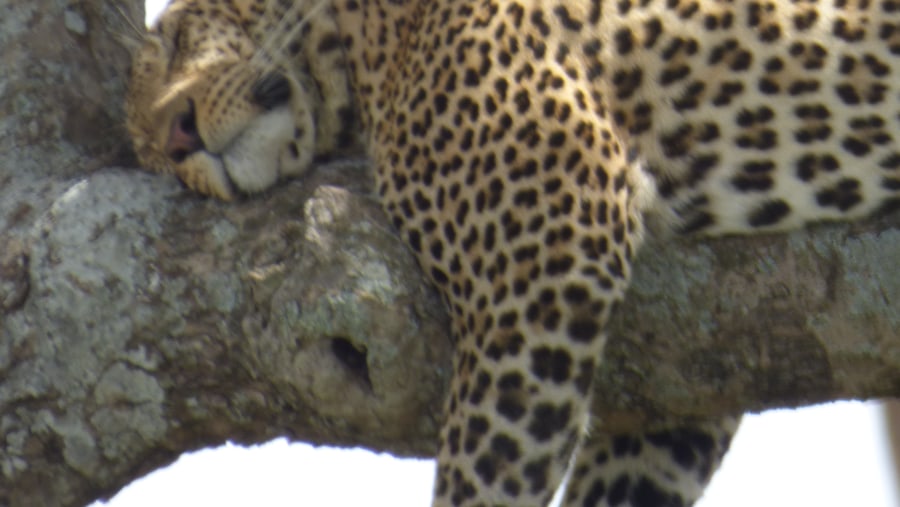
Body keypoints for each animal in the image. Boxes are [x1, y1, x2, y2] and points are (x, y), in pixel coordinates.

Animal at [126, 0, 900, 506]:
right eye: (152, 160)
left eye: (174, 39)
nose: (177, 137)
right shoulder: (689, 380)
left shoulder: (551, 237)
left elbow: (485, 470)